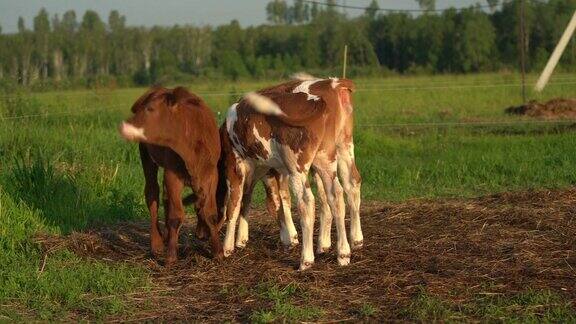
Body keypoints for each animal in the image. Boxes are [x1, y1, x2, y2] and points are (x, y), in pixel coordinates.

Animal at [118, 86, 223, 264]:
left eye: (150, 109)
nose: (124, 126)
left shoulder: (211, 175)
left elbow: (211, 213)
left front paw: (218, 251)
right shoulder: (172, 175)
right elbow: (176, 215)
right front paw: (171, 256)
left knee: (169, 197)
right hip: (146, 155)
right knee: (152, 194)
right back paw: (157, 243)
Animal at [219, 77, 360, 270]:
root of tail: (333, 83)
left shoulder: (235, 166)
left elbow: (236, 203)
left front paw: (228, 247)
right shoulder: (272, 168)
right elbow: (274, 198)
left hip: (297, 166)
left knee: (307, 202)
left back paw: (307, 259)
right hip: (334, 153)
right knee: (342, 190)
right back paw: (346, 249)